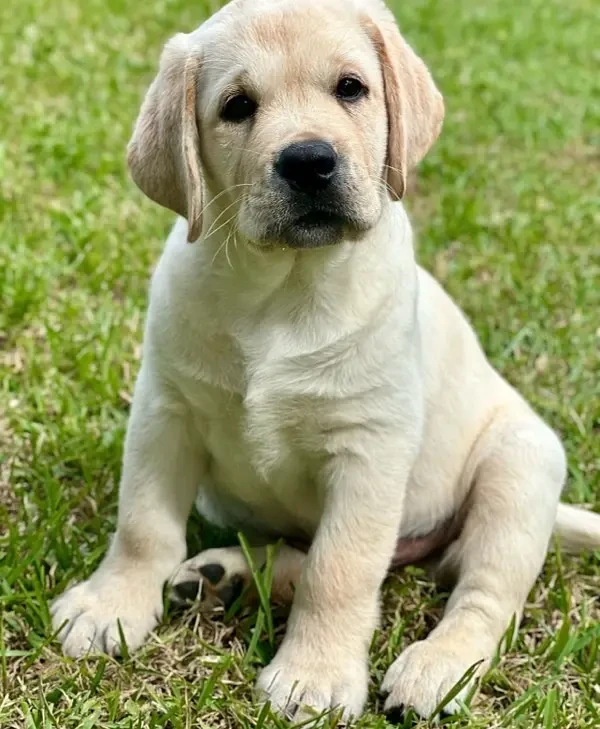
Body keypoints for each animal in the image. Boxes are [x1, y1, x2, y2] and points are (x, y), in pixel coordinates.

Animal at [50, 0, 600, 720]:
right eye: (237, 106)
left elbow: (340, 569)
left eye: (350, 88)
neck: (283, 290)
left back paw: (437, 667)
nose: (309, 160)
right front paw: (109, 605)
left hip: (520, 467)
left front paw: (313, 674)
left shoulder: (368, 449)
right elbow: (143, 524)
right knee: (306, 555)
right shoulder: (165, 410)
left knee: (482, 595)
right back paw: (223, 575)